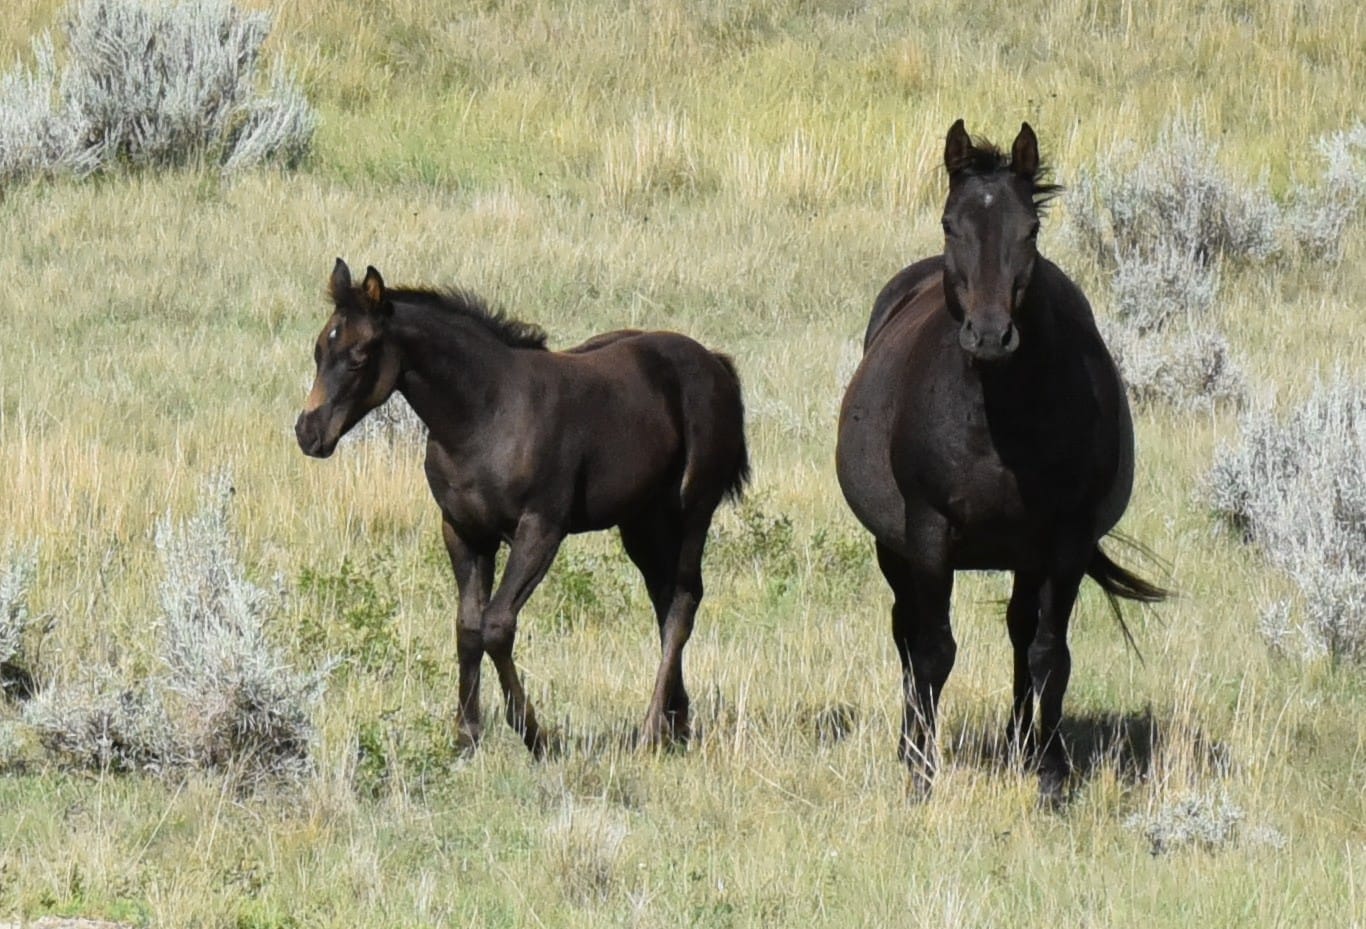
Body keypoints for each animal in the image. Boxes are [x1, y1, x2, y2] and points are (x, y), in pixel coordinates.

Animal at [296, 259, 750, 755]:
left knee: (683, 600)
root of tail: (715, 362)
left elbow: (497, 625)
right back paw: (676, 725)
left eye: (359, 355)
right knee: (664, 597)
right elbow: (467, 627)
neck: (486, 414)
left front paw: (536, 737)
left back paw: (651, 730)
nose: (308, 432)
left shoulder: (540, 530)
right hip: (641, 522)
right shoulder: (463, 531)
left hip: (693, 511)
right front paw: (466, 737)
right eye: (319, 349)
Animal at [835, 120, 1167, 804]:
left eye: (1030, 230)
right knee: (906, 631)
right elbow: (934, 650)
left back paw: (1020, 745)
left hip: (1026, 556)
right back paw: (910, 743)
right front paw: (922, 773)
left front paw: (1051, 773)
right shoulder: (928, 532)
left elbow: (1049, 653)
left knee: (1020, 630)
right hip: (894, 547)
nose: (990, 336)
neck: (1000, 417)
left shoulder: (1065, 539)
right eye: (949, 224)